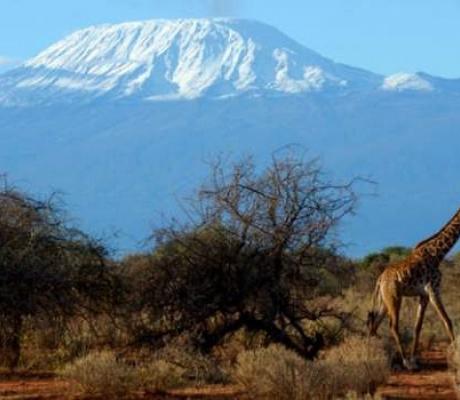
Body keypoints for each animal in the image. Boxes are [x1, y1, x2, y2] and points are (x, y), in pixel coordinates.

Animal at [366, 206, 460, 368]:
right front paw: (455, 354)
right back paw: (405, 362)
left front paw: (415, 359)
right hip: (394, 297)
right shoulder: (434, 290)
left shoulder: (423, 295)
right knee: (393, 325)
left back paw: (378, 358)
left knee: (374, 326)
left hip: (384, 301)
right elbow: (447, 321)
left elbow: (418, 326)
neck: (437, 254)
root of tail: (380, 279)